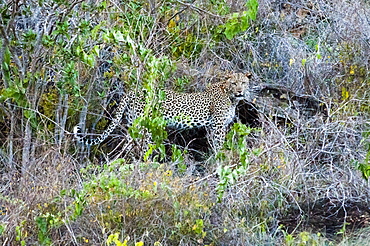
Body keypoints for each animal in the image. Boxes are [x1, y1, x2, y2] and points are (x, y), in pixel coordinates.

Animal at [73, 71, 251, 152]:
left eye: (243, 82)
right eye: (234, 83)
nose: (240, 91)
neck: (231, 97)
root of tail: (132, 91)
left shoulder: (213, 126)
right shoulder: (218, 126)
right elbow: (218, 145)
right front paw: (220, 160)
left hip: (132, 123)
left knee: (127, 145)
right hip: (145, 127)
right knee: (142, 148)